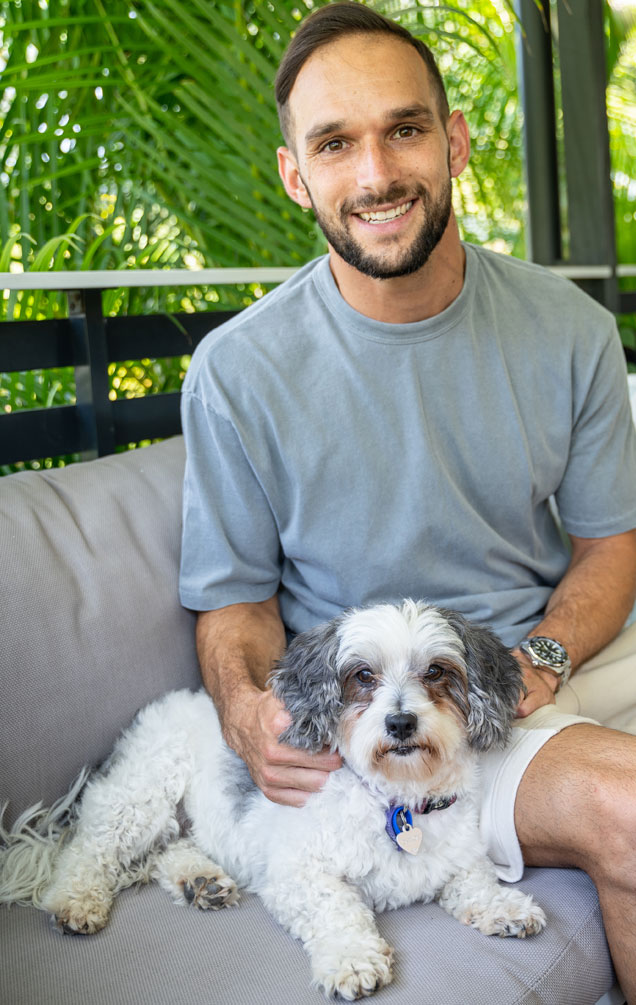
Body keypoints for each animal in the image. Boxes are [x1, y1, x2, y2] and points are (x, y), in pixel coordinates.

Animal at [1, 598, 546, 1000]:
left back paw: (198, 881)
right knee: (88, 850)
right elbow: (337, 907)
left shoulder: (459, 858)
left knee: (165, 851)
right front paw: (352, 959)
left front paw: (504, 906)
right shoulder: (295, 873)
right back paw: (74, 901)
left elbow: (475, 882)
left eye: (435, 672)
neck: (396, 799)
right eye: (363, 676)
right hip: (142, 794)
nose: (400, 723)